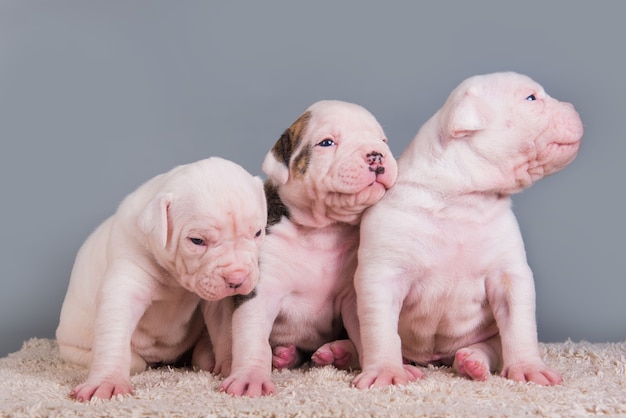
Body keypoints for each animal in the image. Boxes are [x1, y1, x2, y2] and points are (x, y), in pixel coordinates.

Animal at [55, 158, 266, 402]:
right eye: (197, 240)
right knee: (132, 361)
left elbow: (224, 328)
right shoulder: (126, 279)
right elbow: (114, 332)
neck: (174, 277)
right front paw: (107, 382)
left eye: (258, 233)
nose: (237, 278)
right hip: (75, 346)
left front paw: (231, 366)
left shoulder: (217, 299)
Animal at [352, 72, 580, 388]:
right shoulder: (382, 275)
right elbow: (381, 330)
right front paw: (386, 372)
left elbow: (519, 324)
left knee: (493, 346)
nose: (574, 107)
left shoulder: (509, 275)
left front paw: (529, 368)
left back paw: (472, 361)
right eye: (531, 98)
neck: (461, 196)